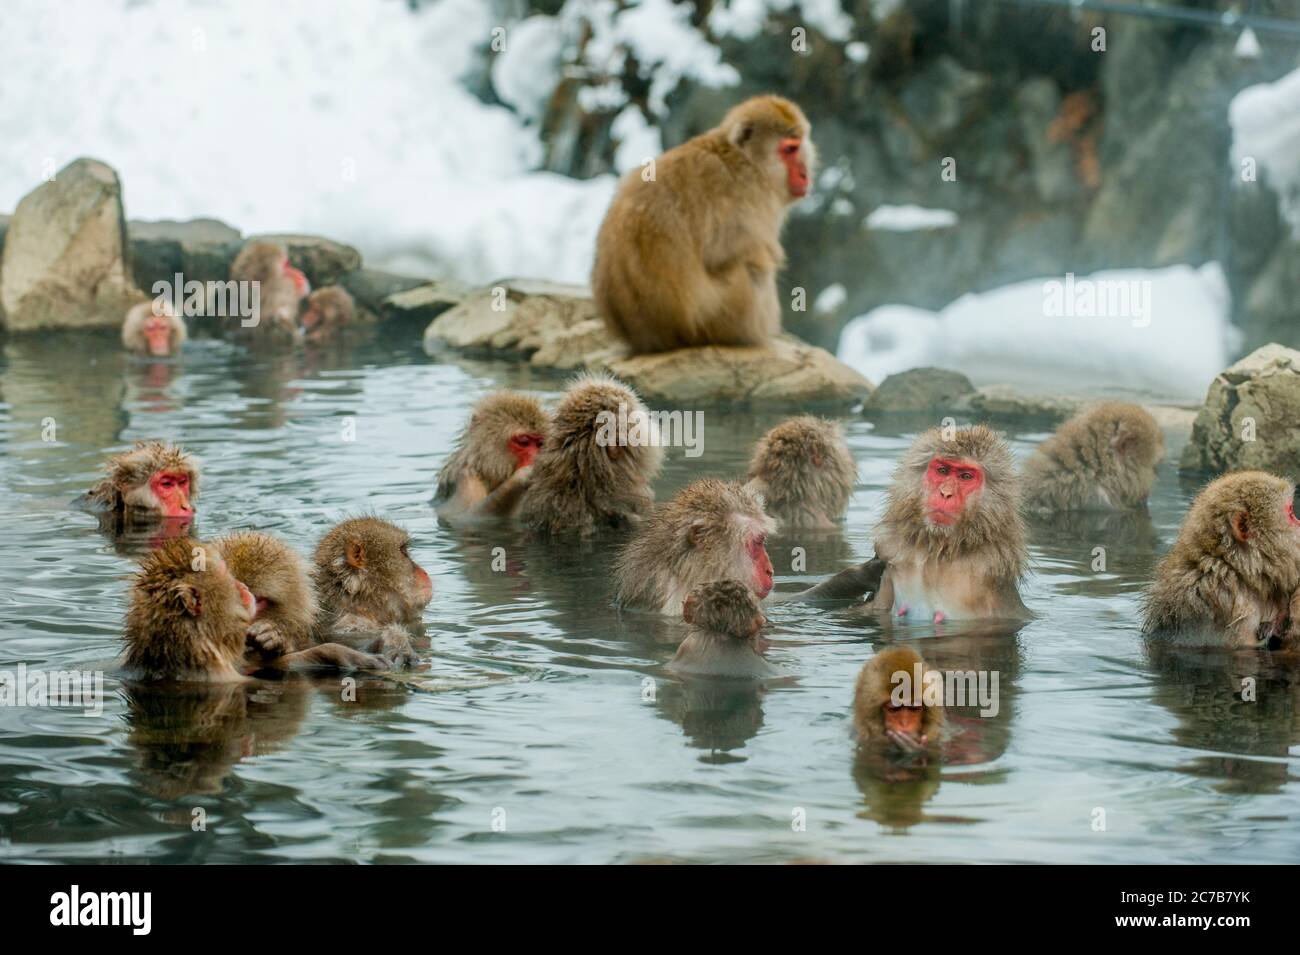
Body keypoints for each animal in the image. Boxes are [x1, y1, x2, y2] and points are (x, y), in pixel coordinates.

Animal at [435, 391, 550, 523]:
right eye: (524, 442)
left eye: (540, 444)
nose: (536, 458)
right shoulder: (467, 477)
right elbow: (464, 516)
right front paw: (522, 476)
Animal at [591, 94, 815, 353]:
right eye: (789, 149)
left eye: (799, 146)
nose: (805, 175)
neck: (743, 158)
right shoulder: (749, 196)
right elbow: (732, 255)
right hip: (720, 315)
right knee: (754, 271)